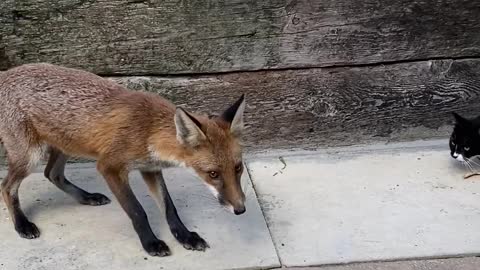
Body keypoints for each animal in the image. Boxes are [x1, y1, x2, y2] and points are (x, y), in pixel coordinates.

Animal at [0, 62, 248, 255]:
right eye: (213, 174)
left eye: (238, 168)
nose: (240, 210)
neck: (149, 129)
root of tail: (5, 74)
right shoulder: (109, 167)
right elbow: (138, 211)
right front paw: (151, 243)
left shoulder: (150, 168)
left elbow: (170, 208)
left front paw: (185, 236)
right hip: (31, 156)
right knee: (7, 186)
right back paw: (22, 225)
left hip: (66, 145)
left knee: (52, 174)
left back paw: (86, 197)